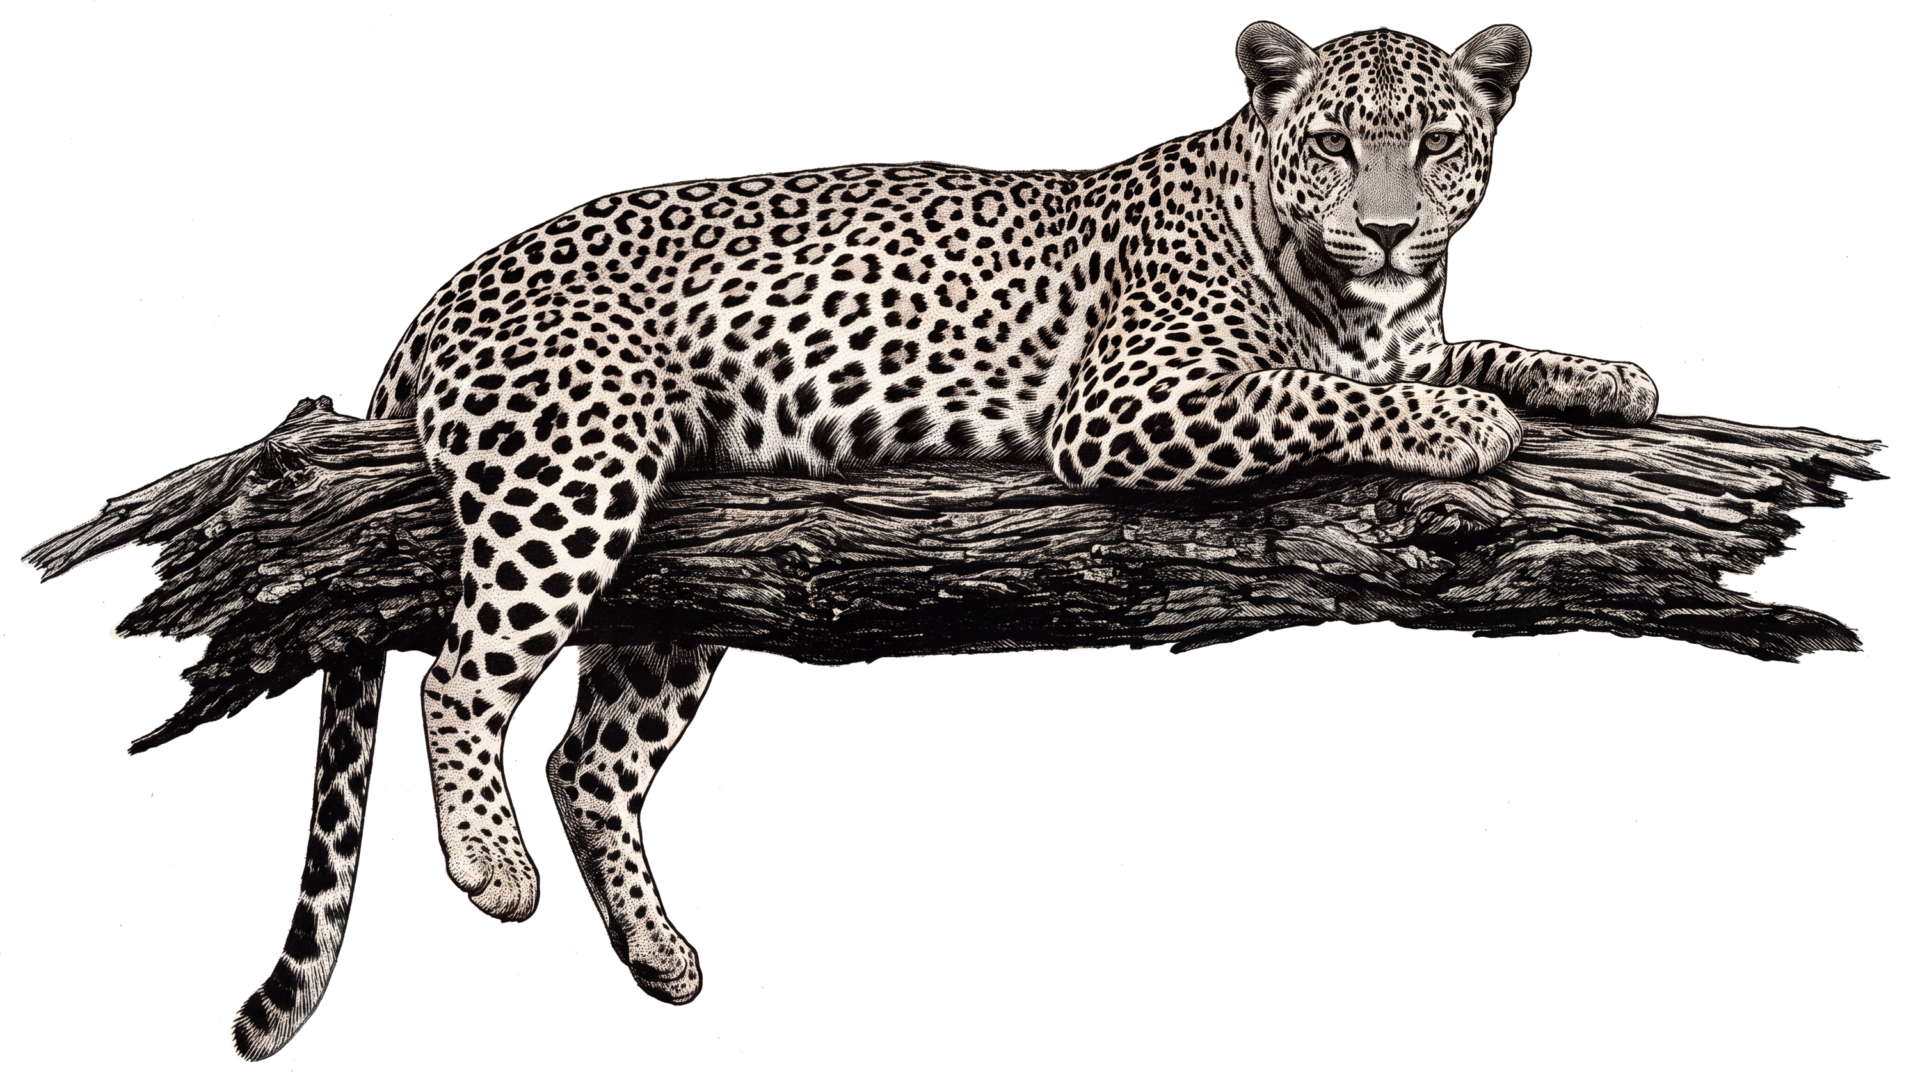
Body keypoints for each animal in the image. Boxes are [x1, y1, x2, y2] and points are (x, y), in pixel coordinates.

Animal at [225, 17, 1658, 1062]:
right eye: (1334, 146)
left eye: (1437, 141)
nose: (1392, 228)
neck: (1358, 294)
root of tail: (433, 299)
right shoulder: (1134, 402)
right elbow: (1322, 393)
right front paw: (1462, 420)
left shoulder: (1394, 327)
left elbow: (1460, 348)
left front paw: (1598, 375)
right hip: (574, 466)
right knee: (462, 678)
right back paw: (489, 865)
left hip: (677, 579)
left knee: (591, 760)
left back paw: (659, 957)